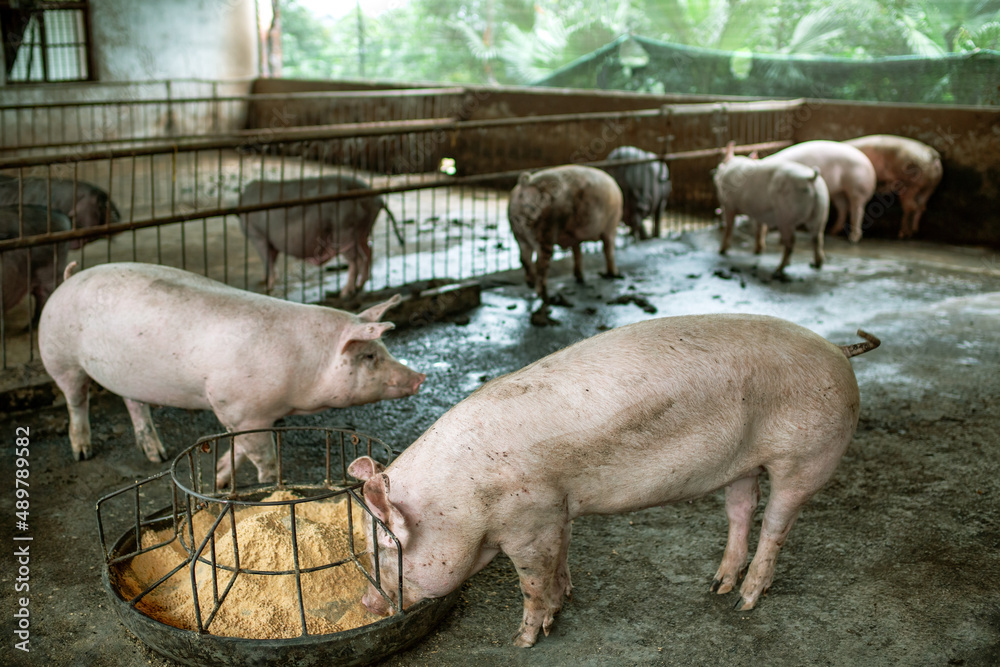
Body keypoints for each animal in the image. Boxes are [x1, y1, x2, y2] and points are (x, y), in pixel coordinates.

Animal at [38, 262, 425, 484]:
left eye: (384, 350)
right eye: (369, 356)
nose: (420, 378)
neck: (306, 366)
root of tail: (67, 279)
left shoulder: (250, 415)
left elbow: (239, 449)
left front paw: (221, 480)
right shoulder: (239, 406)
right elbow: (262, 457)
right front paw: (269, 486)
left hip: (127, 375)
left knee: (134, 404)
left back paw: (156, 454)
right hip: (59, 356)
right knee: (76, 400)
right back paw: (83, 451)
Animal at [239, 175, 404, 298]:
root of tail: (377, 199)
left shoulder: (257, 234)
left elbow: (267, 260)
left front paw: (267, 286)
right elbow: (272, 260)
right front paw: (264, 279)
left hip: (344, 230)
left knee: (357, 259)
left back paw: (345, 293)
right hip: (362, 230)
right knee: (368, 251)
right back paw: (360, 285)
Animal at [348, 314, 880, 647]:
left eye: (385, 551)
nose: (368, 603)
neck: (463, 502)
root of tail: (839, 349)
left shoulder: (528, 522)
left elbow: (532, 582)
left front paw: (524, 639)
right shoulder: (557, 510)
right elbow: (561, 560)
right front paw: (564, 602)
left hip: (807, 456)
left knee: (777, 523)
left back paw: (745, 602)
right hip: (743, 463)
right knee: (741, 511)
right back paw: (718, 586)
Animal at [507, 165, 623, 326]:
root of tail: (527, 182)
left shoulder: (575, 238)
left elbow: (577, 252)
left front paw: (580, 277)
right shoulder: (610, 228)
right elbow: (608, 250)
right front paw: (614, 274)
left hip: (519, 234)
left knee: (524, 259)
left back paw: (531, 283)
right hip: (546, 233)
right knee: (540, 266)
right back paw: (546, 298)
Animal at [714, 142, 830, 279]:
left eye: (719, 165)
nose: (714, 173)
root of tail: (811, 178)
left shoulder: (728, 205)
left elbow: (729, 227)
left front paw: (721, 251)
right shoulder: (758, 211)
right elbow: (759, 229)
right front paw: (758, 250)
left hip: (785, 216)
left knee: (791, 242)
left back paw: (778, 269)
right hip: (821, 211)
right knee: (817, 238)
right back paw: (815, 264)